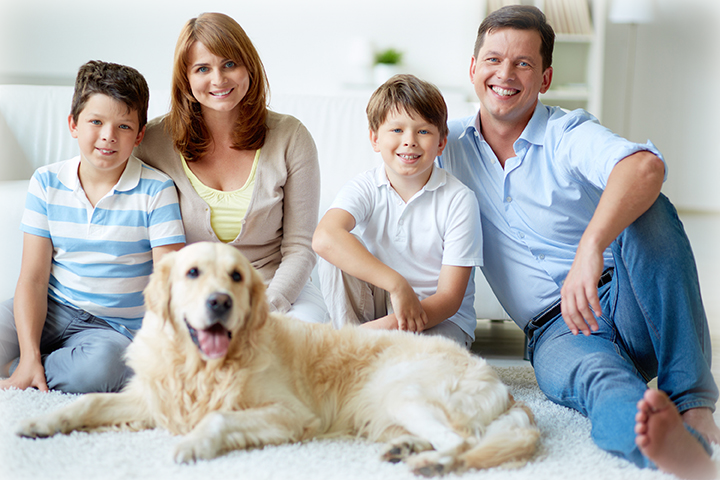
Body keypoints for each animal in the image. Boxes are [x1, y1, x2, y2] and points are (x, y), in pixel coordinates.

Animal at [16, 244, 536, 476]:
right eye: (192, 273)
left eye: (236, 276)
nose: (220, 302)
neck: (201, 368)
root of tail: (505, 387)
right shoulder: (155, 398)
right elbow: (88, 403)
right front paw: (40, 422)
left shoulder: (291, 414)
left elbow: (219, 418)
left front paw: (194, 445)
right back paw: (406, 449)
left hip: (403, 391)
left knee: (462, 440)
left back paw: (430, 462)